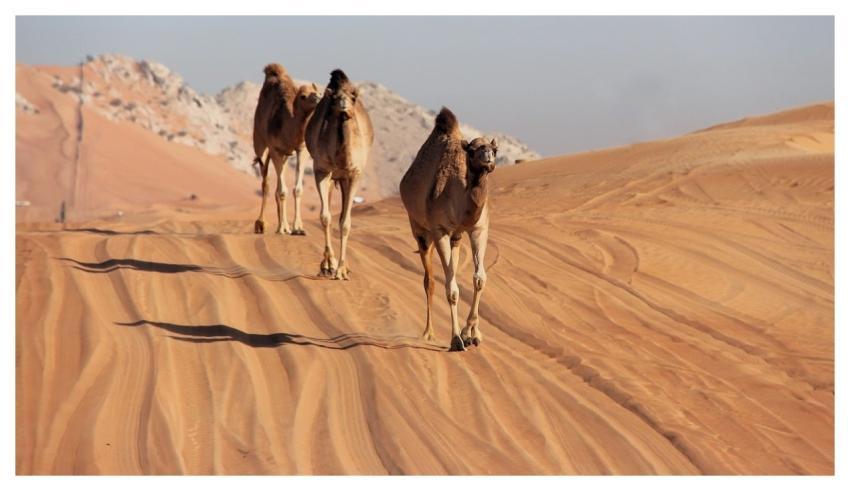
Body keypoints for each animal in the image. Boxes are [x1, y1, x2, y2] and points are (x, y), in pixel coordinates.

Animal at [253, 63, 321, 235]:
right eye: (303, 96)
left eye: (317, 92)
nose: (319, 97)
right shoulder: (275, 149)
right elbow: (282, 191)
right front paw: (284, 227)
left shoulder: (301, 150)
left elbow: (297, 189)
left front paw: (298, 227)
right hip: (260, 145)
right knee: (266, 182)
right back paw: (261, 224)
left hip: (283, 155)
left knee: (276, 185)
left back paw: (282, 225)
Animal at [305, 69, 374, 280]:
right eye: (334, 98)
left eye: (353, 96)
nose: (344, 107)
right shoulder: (321, 171)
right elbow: (325, 217)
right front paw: (329, 265)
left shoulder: (353, 175)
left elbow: (345, 222)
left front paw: (342, 269)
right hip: (331, 177)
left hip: (343, 179)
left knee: (343, 214)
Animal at [399, 107, 497, 352]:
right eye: (471, 150)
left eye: (495, 149)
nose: (488, 158)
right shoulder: (440, 229)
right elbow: (451, 290)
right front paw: (456, 339)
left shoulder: (478, 228)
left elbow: (479, 278)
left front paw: (472, 333)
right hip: (420, 230)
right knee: (430, 280)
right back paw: (428, 333)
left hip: (456, 237)